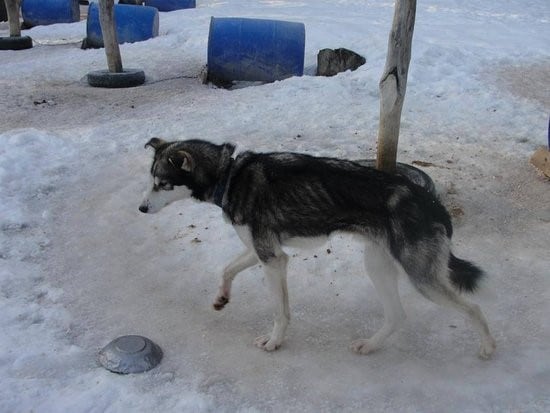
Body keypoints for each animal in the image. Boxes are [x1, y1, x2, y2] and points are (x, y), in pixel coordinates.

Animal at [140, 138, 498, 358]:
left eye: (161, 184)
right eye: (152, 181)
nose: (141, 208)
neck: (229, 174)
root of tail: (430, 201)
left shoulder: (273, 260)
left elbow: (280, 312)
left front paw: (274, 342)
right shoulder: (264, 252)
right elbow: (226, 269)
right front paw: (221, 298)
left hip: (422, 279)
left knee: (474, 309)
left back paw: (487, 347)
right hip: (377, 266)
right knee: (397, 315)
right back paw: (370, 345)